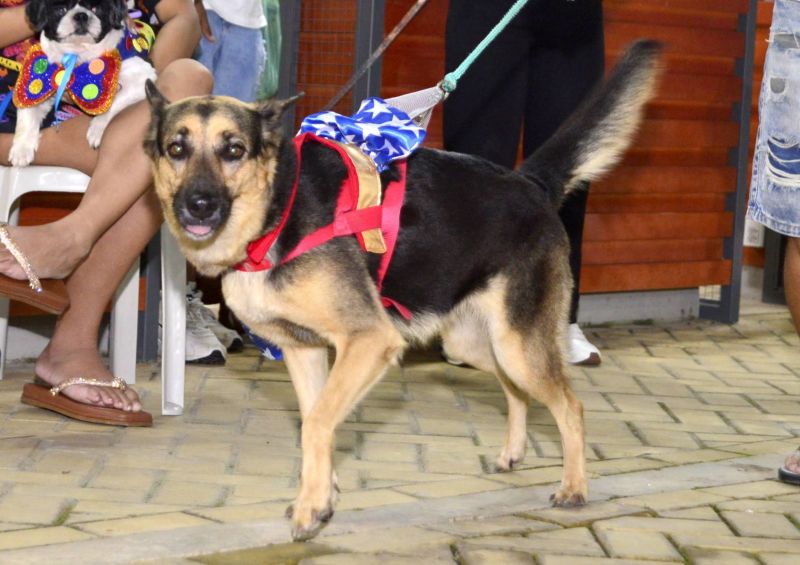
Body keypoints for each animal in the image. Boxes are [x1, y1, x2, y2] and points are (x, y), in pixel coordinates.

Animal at [8, 0, 155, 166]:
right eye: (61, 9)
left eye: (96, 9)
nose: (81, 15)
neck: (77, 54)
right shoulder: (38, 86)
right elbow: (26, 116)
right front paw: (21, 148)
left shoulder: (143, 76)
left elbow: (111, 102)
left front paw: (97, 128)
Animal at [144, 41, 664, 540]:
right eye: (176, 148)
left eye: (233, 150)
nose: (199, 204)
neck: (278, 207)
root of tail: (530, 183)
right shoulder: (305, 350)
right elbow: (316, 421)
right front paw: (322, 496)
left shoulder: (369, 341)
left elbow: (318, 422)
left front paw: (312, 507)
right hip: (476, 344)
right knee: (514, 389)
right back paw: (513, 453)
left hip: (518, 345)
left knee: (569, 405)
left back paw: (574, 488)